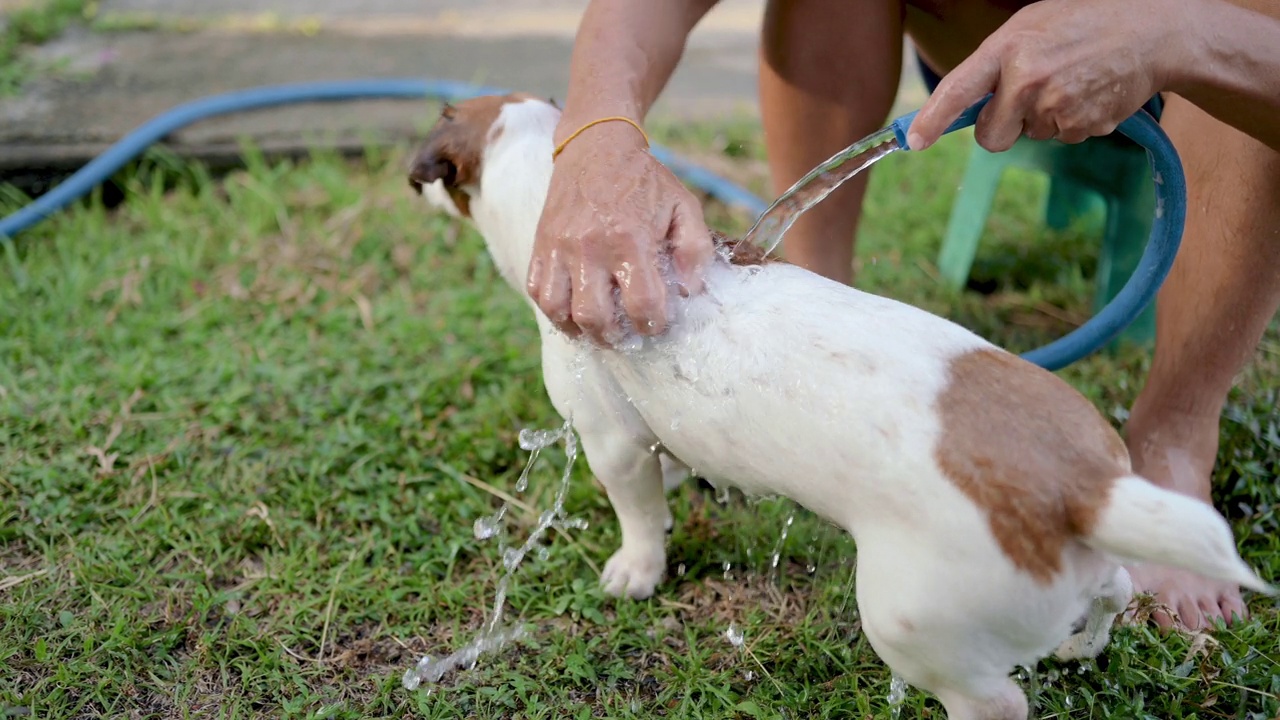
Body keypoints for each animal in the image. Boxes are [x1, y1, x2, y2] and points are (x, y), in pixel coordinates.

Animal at [407, 95, 1269, 717]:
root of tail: (1083, 490)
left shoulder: (609, 434)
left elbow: (638, 512)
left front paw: (634, 571)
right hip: (1081, 572)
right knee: (1115, 592)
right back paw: (1082, 645)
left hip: (909, 621)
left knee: (998, 701)